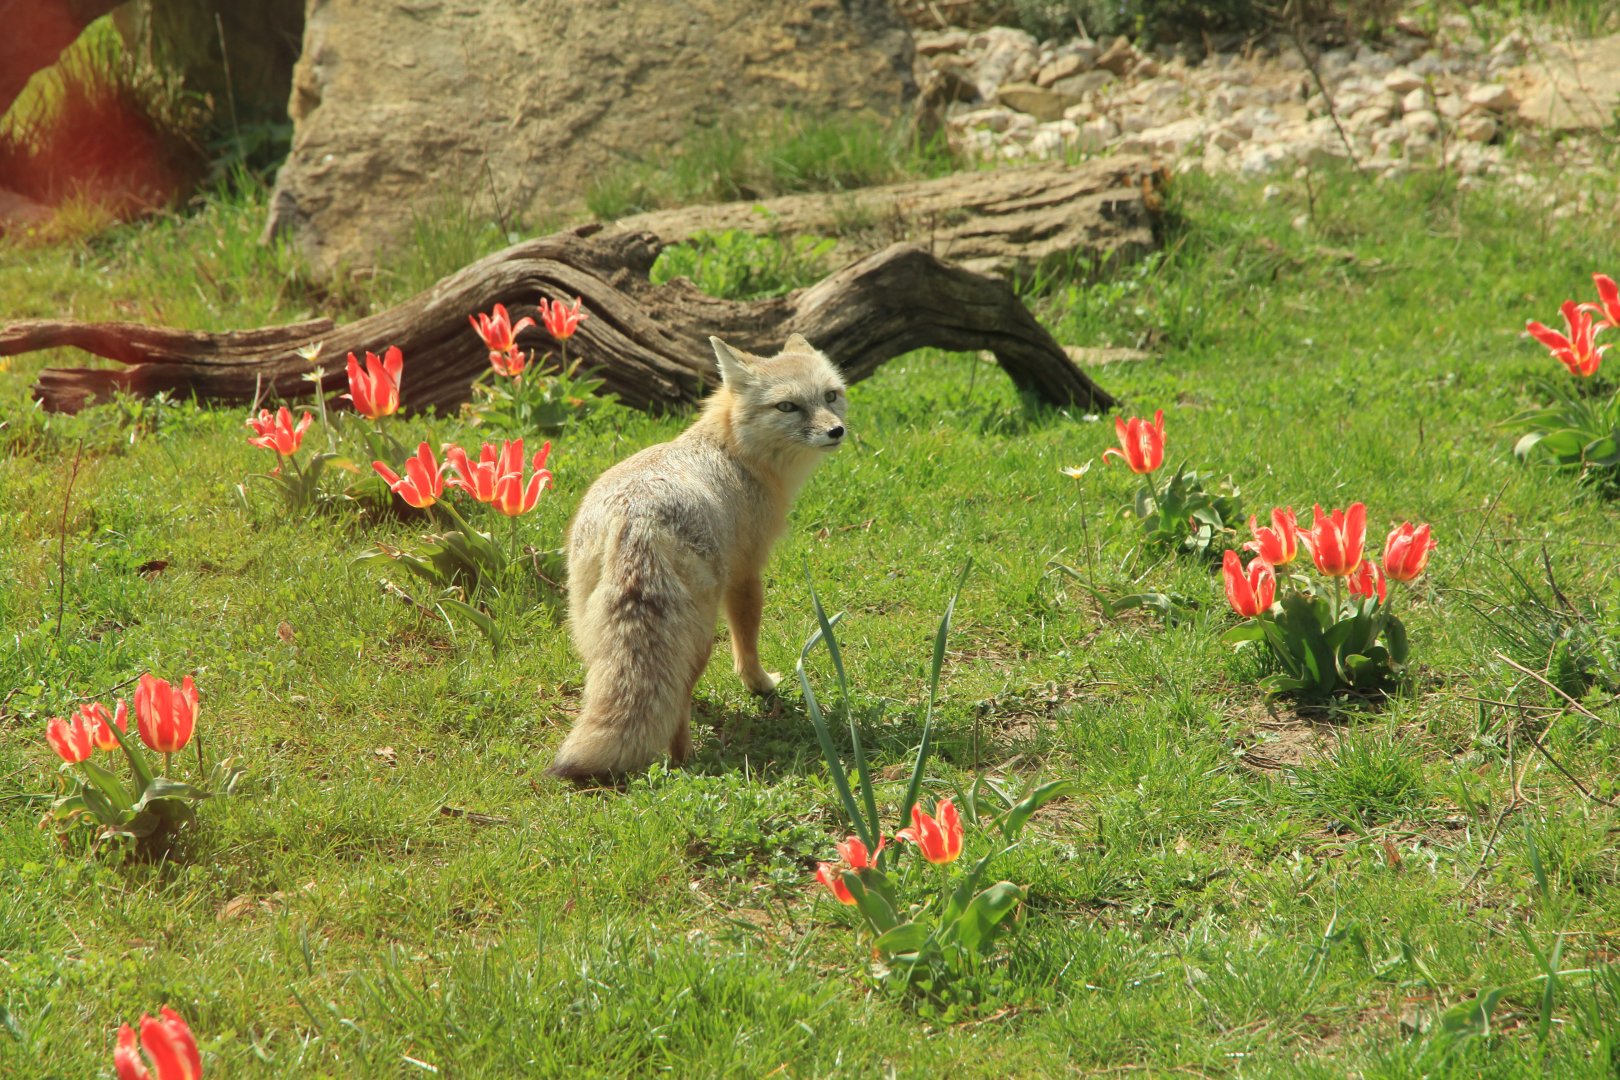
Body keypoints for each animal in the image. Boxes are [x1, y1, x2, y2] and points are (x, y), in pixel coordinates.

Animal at [549, 334, 849, 782]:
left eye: (830, 395)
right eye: (787, 406)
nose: (836, 430)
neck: (733, 451)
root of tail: (634, 517)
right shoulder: (746, 574)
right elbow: (747, 642)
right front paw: (760, 684)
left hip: (590, 630)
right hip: (700, 638)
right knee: (677, 702)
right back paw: (683, 762)